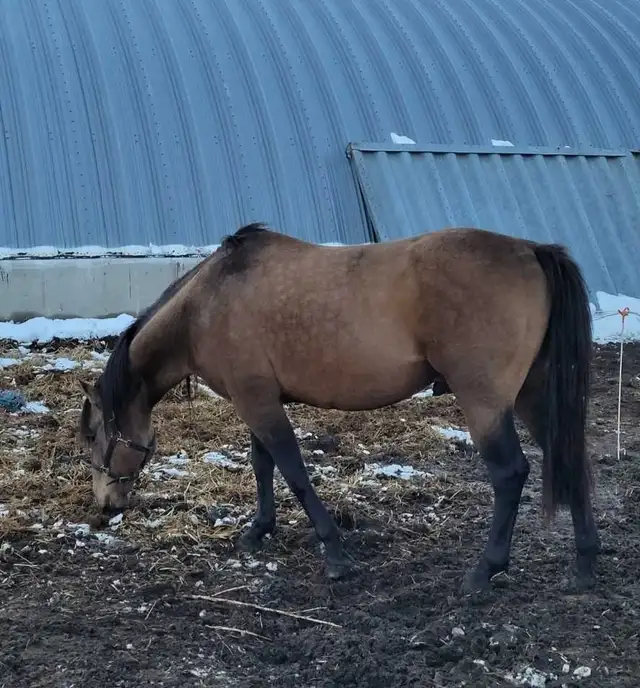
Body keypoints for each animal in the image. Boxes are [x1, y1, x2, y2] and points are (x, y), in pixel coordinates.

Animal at [78, 222, 601, 593]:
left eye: (93, 436)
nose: (105, 508)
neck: (208, 304)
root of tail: (532, 251)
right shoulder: (257, 400)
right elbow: (262, 465)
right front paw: (259, 530)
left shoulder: (259, 404)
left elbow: (293, 472)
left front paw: (334, 554)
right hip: (533, 394)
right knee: (568, 458)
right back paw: (584, 563)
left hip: (485, 403)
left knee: (511, 474)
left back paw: (485, 571)